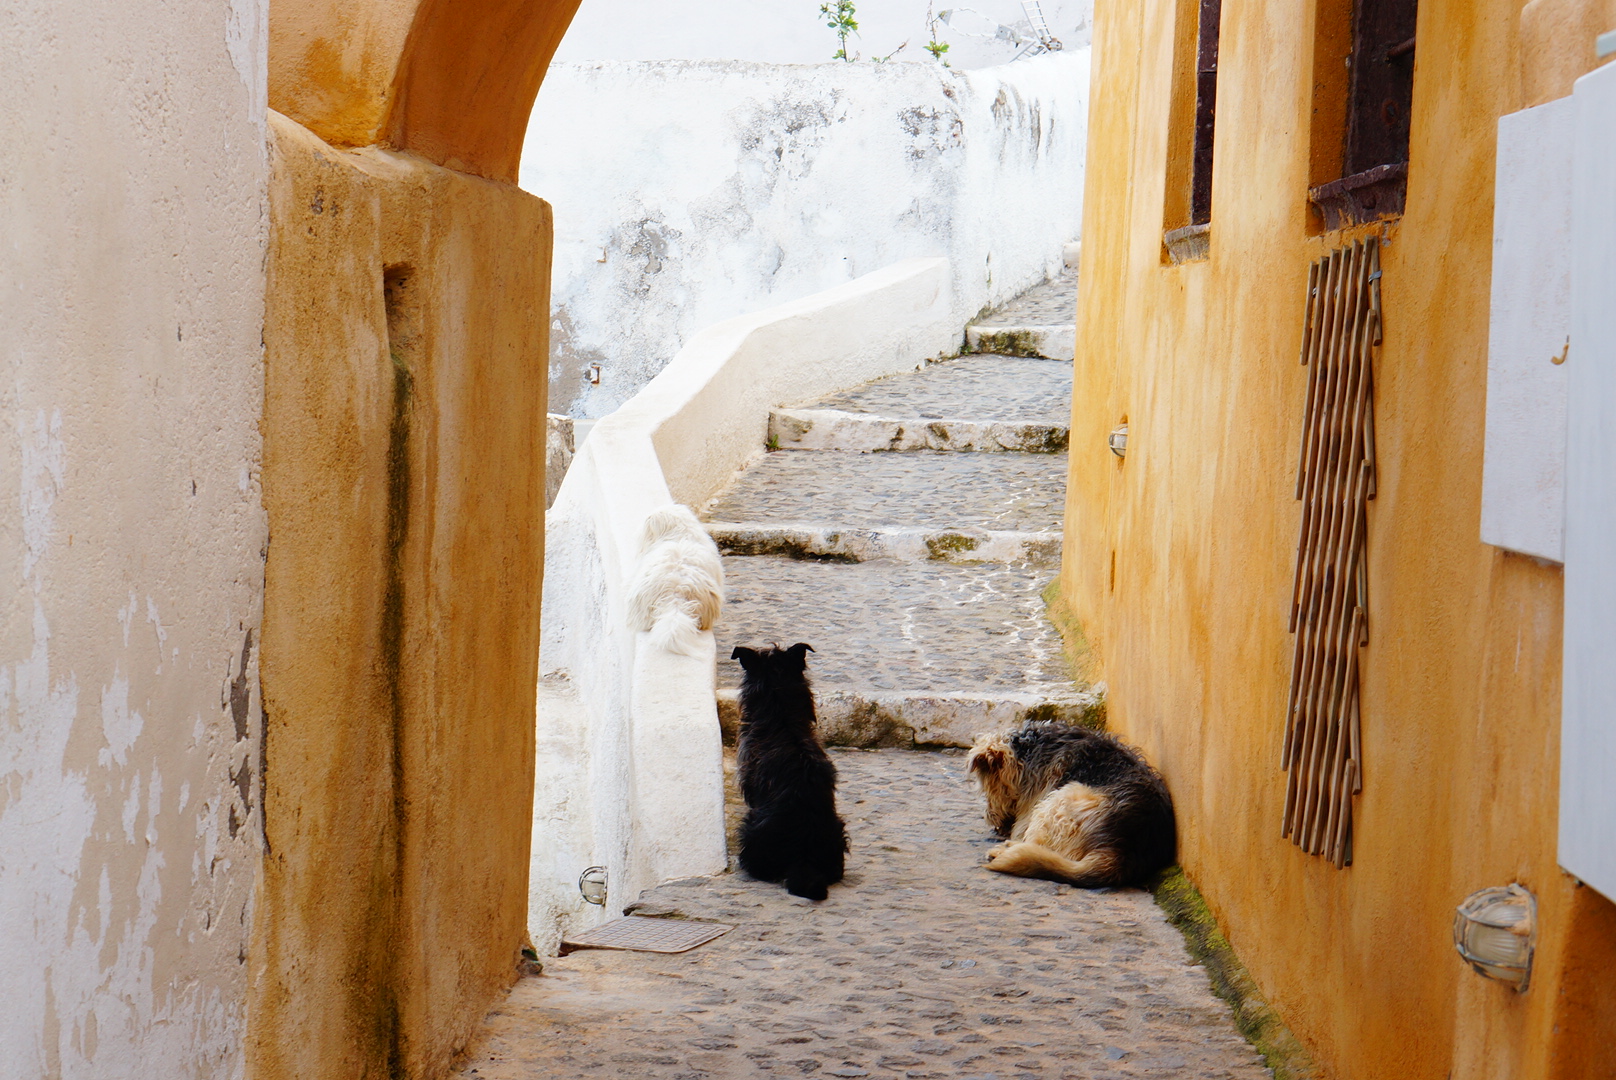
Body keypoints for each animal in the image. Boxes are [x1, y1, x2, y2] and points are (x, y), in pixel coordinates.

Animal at [956, 724, 1176, 885]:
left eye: (987, 788)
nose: (989, 818)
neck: (1025, 754)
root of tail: (1121, 851)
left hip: (1061, 799)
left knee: (1044, 849)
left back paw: (1004, 850)